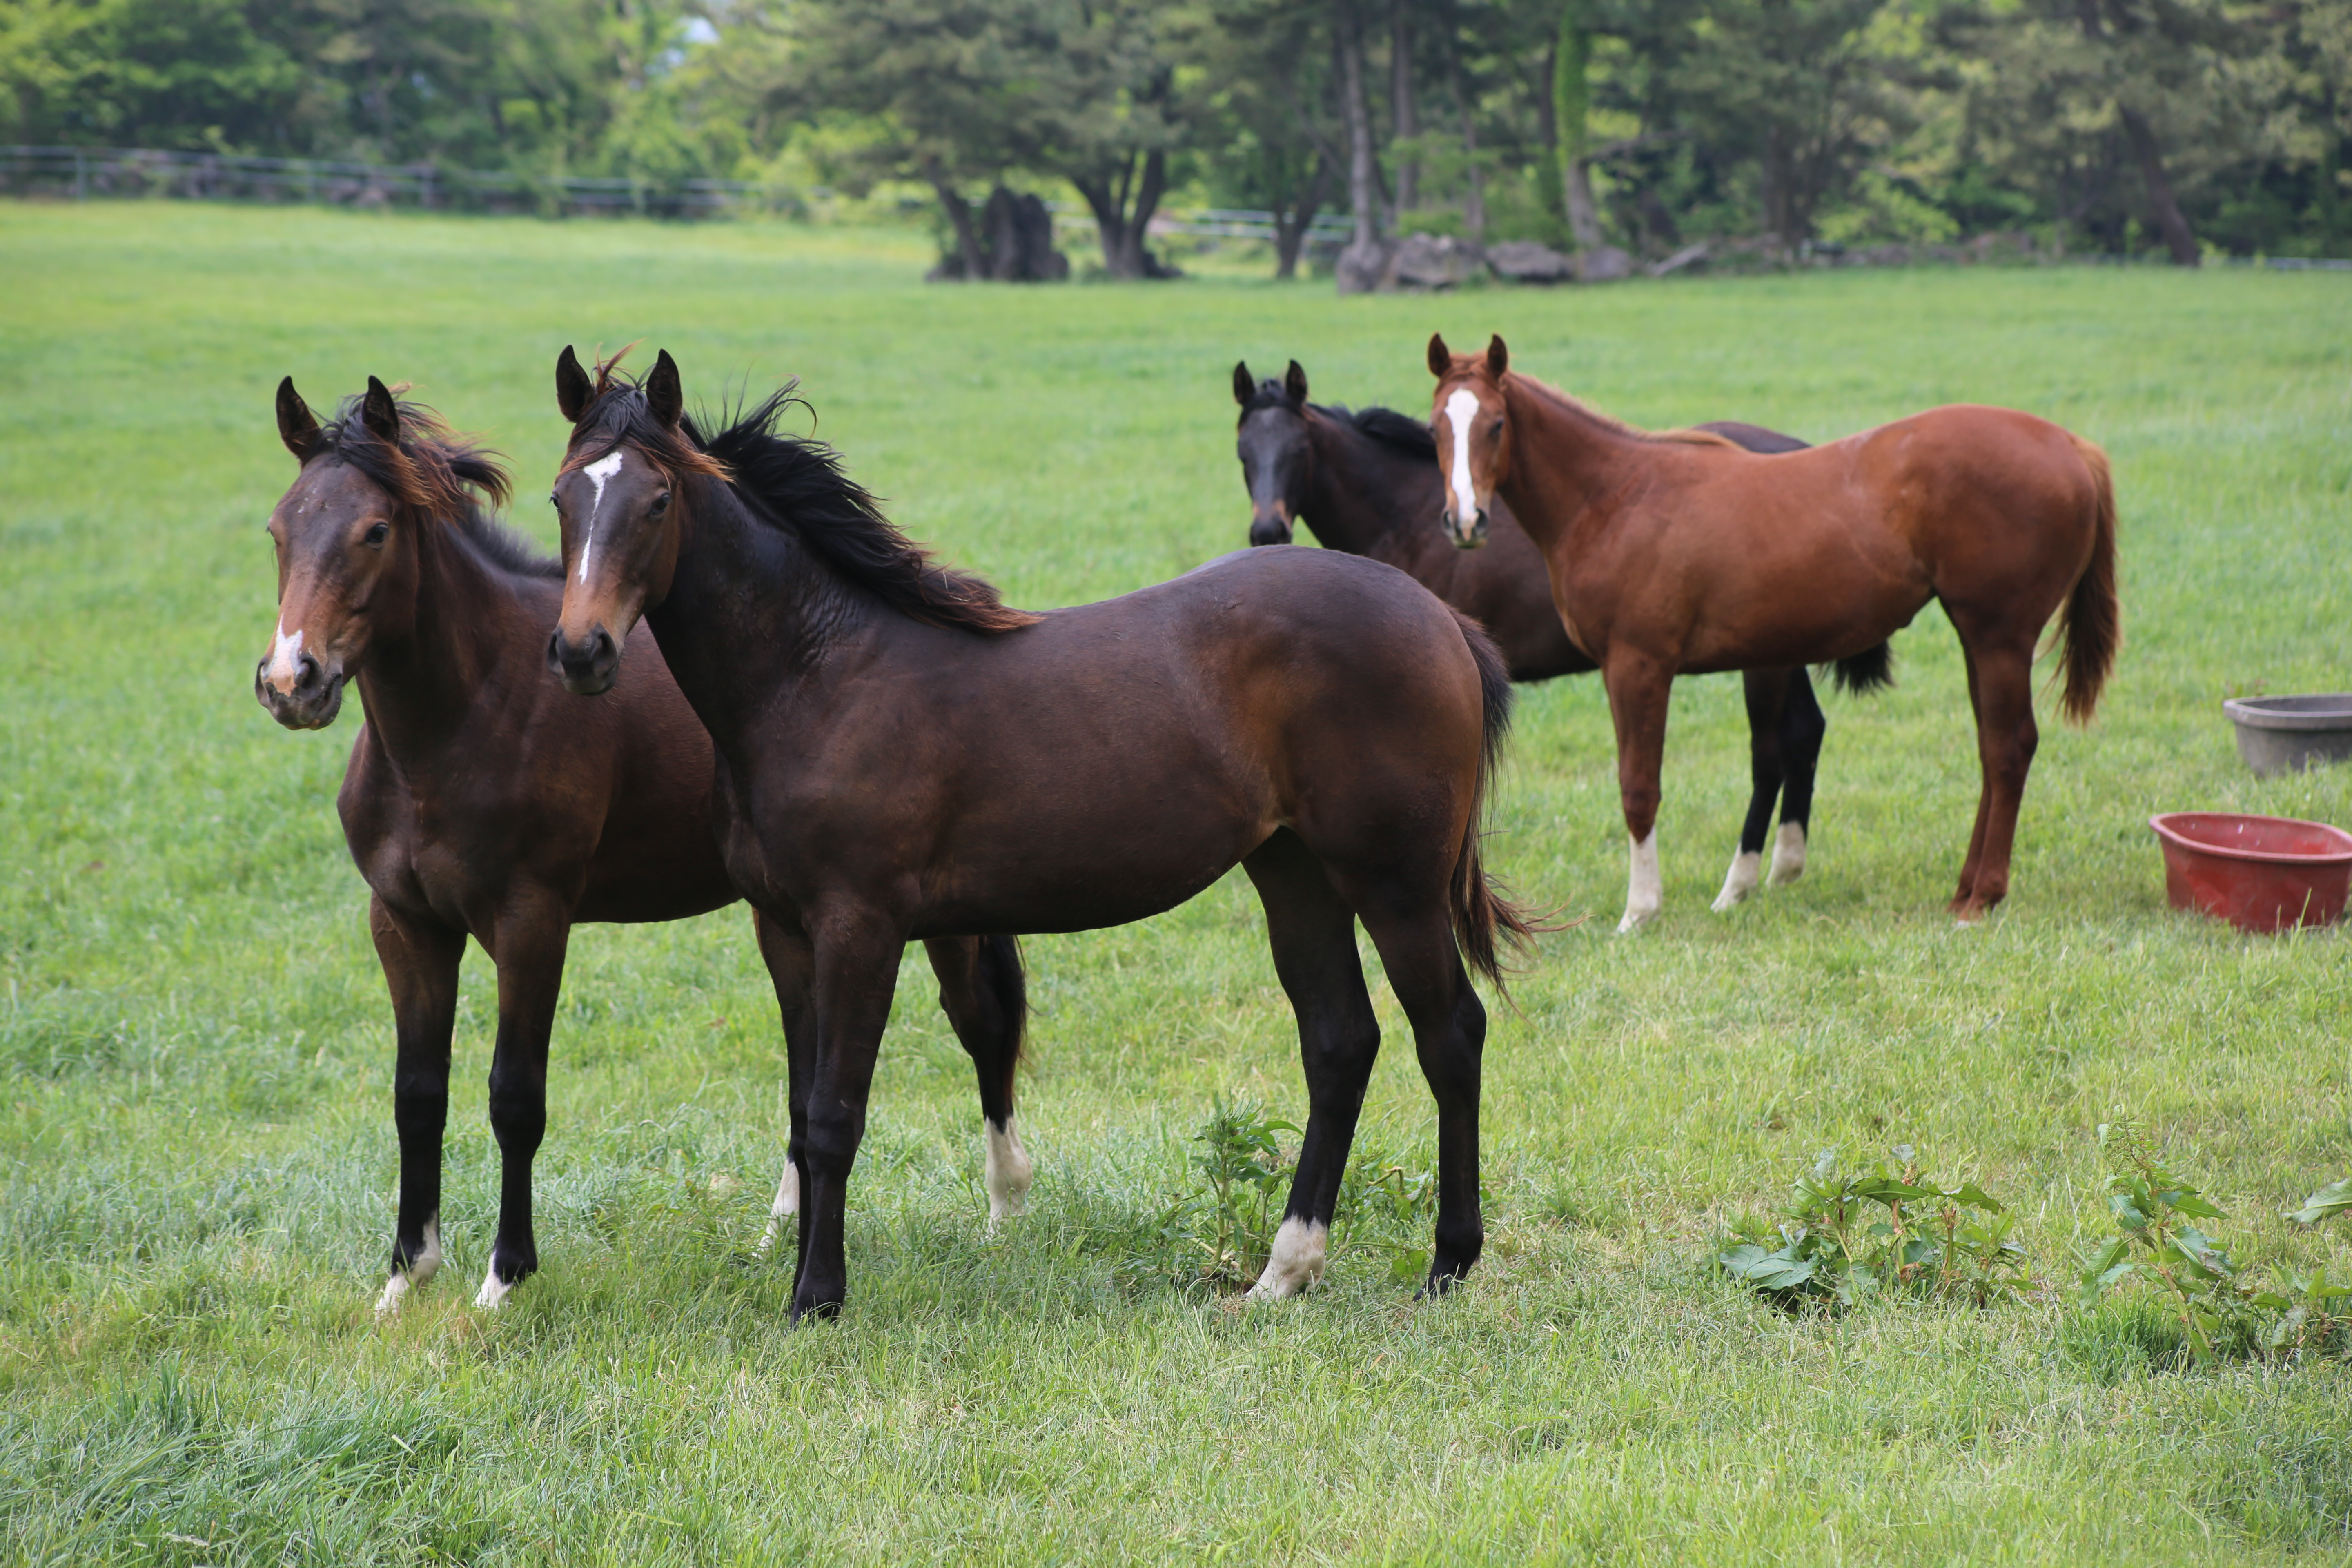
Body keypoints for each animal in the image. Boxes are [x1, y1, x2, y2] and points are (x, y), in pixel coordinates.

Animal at [253, 376, 1035, 1316]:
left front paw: (503, 1278)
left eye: (375, 531)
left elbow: (515, 1097)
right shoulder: (406, 925)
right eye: (278, 530)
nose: (292, 682)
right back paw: (779, 1234)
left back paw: (1003, 1210)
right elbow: (417, 1096)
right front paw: (406, 1278)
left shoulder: (531, 921)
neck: (463, 721)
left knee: (981, 1024)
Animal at [541, 350, 1533, 1316]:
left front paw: (817, 1299)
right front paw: (799, 1279)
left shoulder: (860, 929)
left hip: (1395, 885)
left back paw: (1448, 1264)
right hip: (1296, 874)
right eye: (561, 499)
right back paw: (1283, 1273)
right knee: (1339, 1044)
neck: (818, 674)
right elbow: (799, 1107)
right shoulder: (783, 932)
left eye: (657, 501)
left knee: (1450, 1036)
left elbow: (834, 1117)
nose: (582, 652)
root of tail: (1443, 619)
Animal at [1232, 359, 1853, 912]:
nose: (1267, 530)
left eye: (1300, 450)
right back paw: (1783, 868)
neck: (1407, 515)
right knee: (1805, 732)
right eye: (1243, 452)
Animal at [1421, 329, 2126, 921]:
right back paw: (1965, 887)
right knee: (1991, 747)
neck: (1618, 496)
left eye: (1497, 424)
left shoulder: (1637, 667)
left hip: (1999, 636)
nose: (1466, 523)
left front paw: (1640, 911)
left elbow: (1639, 788)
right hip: (1978, 638)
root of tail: (2072, 447)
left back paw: (1982, 897)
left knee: (2008, 748)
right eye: (1435, 428)